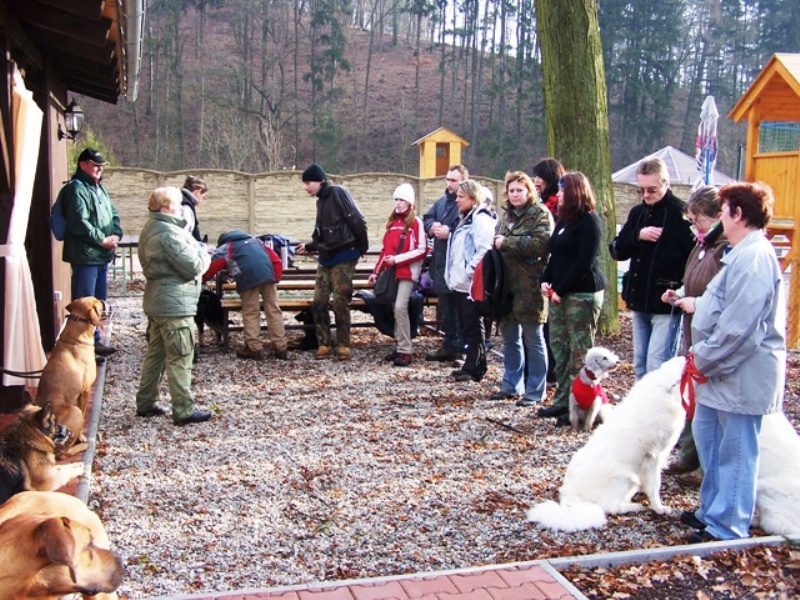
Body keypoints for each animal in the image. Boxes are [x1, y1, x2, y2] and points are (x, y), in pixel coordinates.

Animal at [35, 298, 109, 458]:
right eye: (98, 304)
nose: (103, 300)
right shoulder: (86, 390)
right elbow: (83, 413)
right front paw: (82, 437)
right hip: (74, 412)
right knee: (62, 453)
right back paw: (82, 446)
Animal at [524, 354, 688, 532]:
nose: (687, 355)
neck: (665, 390)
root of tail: (568, 500)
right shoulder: (653, 456)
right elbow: (655, 485)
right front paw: (659, 508)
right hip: (625, 478)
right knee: (610, 507)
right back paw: (635, 506)